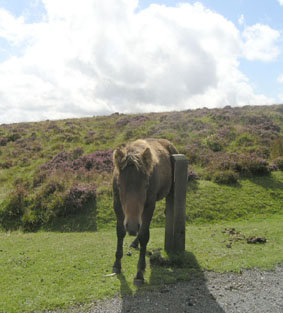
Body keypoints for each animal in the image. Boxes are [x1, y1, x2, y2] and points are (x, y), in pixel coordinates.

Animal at [112, 138, 178, 282]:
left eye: (146, 185)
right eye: (119, 185)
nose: (131, 227)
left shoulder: (149, 205)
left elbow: (144, 235)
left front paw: (140, 271)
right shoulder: (117, 204)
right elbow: (120, 232)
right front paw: (117, 264)